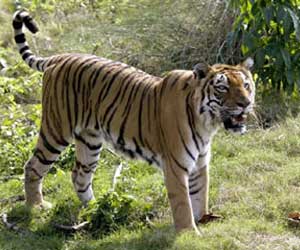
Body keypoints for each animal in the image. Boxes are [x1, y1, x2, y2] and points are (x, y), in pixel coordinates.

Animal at [12, 9, 254, 235]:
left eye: (246, 85)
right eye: (222, 87)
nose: (246, 103)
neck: (207, 123)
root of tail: (59, 57)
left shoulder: (201, 163)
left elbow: (200, 195)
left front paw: (203, 219)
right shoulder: (176, 165)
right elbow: (183, 203)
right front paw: (189, 233)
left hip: (90, 140)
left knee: (79, 175)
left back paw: (95, 208)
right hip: (56, 130)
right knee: (32, 166)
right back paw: (37, 206)